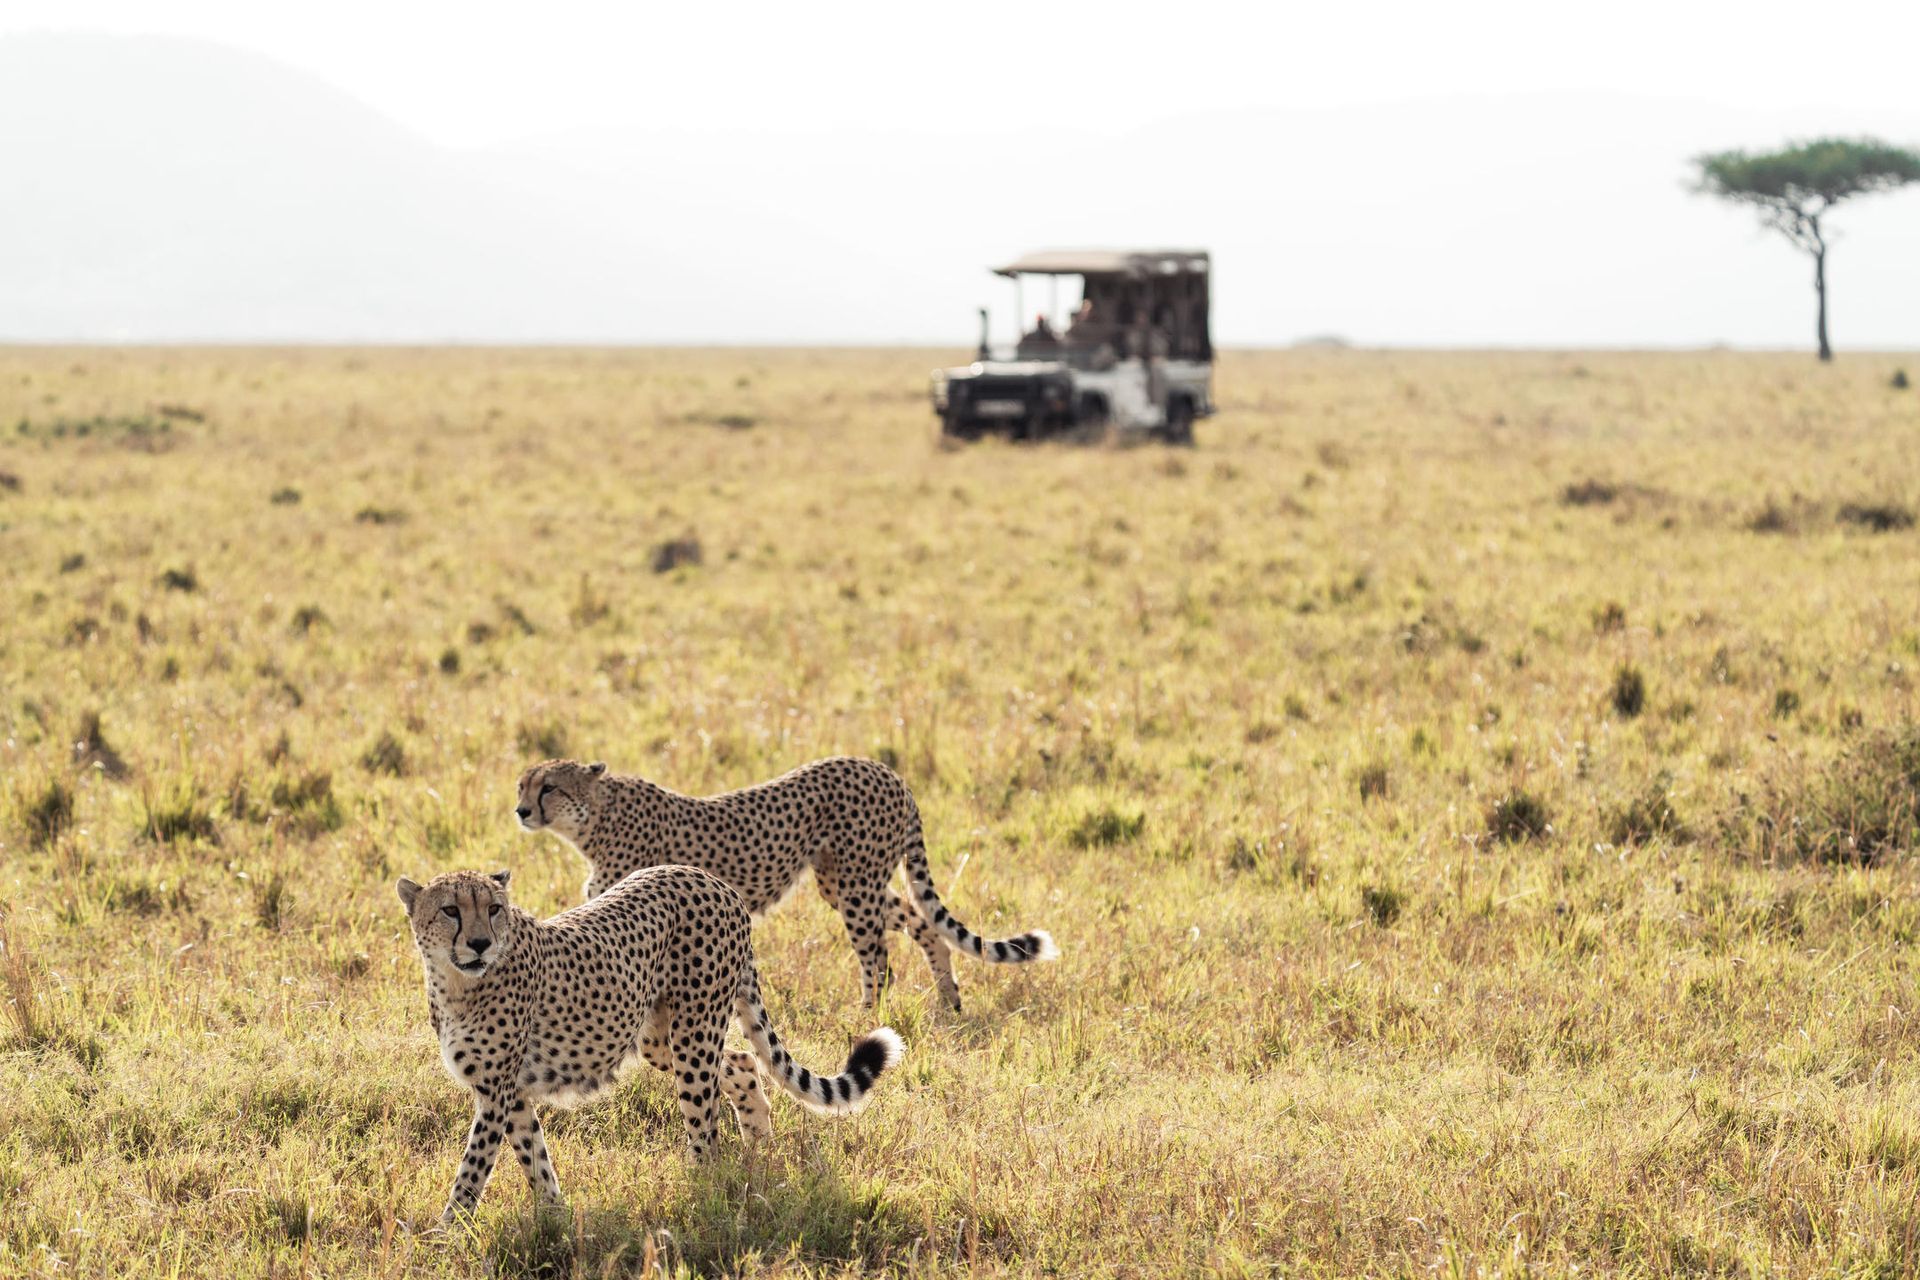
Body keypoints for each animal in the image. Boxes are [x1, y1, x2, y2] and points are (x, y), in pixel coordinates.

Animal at [393, 867, 902, 1228]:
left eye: (494, 908)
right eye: (450, 910)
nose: (480, 943)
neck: (457, 983)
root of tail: (713, 880)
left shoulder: (497, 1092)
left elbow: (473, 1169)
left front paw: (445, 1234)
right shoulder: (510, 1092)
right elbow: (535, 1157)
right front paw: (555, 1219)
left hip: (695, 1031)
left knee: (705, 1123)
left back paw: (703, 1194)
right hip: (660, 1037)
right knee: (741, 1061)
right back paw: (759, 1149)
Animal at [518, 756, 1059, 1013]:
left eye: (550, 787)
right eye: (522, 785)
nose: (521, 811)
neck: (594, 818)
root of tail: (888, 771)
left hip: (856, 886)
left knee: (877, 956)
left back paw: (865, 1017)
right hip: (843, 882)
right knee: (922, 922)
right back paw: (947, 998)